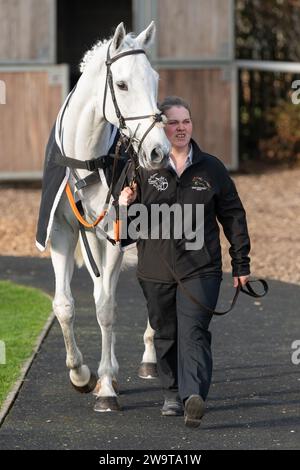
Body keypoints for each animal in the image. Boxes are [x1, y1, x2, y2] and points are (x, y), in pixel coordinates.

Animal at [49, 23, 171, 412]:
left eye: (155, 79)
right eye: (121, 84)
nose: (158, 151)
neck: (85, 160)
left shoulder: (115, 234)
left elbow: (105, 307)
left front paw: (104, 387)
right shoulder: (63, 233)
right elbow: (66, 305)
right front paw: (81, 374)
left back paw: (148, 358)